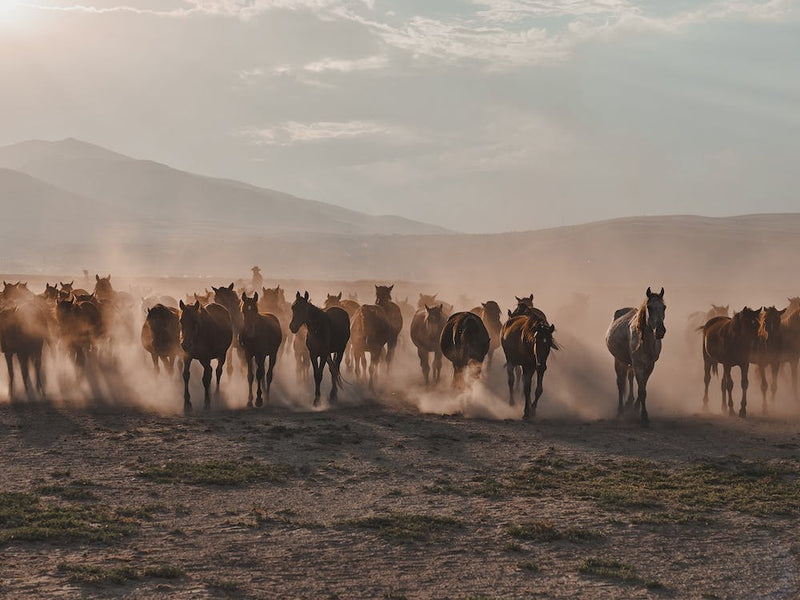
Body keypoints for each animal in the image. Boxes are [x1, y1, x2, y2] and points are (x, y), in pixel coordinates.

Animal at [605, 287, 666, 424]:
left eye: (664, 307)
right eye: (649, 307)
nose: (660, 331)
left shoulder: (649, 366)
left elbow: (642, 388)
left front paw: (636, 407)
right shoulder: (638, 365)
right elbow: (641, 390)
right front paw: (644, 416)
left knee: (630, 377)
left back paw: (629, 403)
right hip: (619, 360)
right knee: (621, 383)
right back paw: (620, 410)